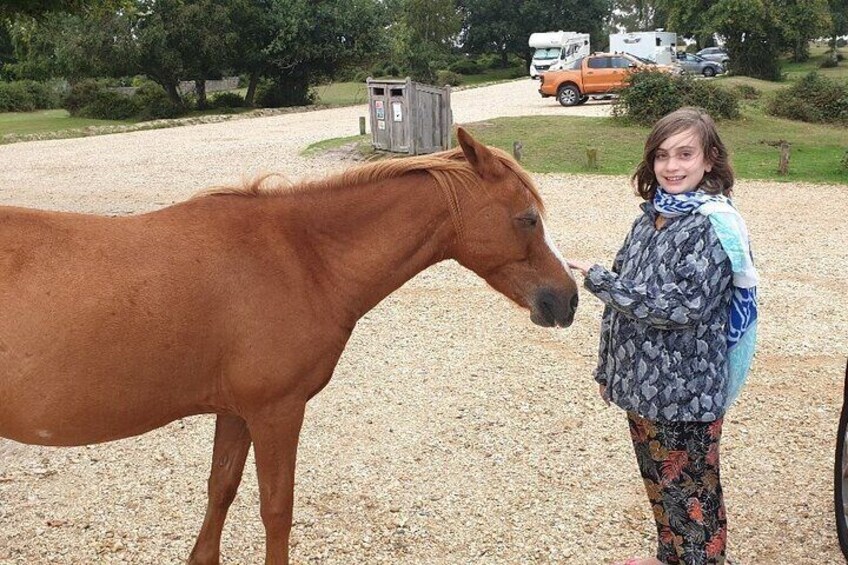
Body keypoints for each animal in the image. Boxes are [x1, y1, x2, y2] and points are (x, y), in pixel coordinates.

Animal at [0, 129, 576, 564]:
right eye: (527, 218)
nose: (567, 298)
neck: (302, 258)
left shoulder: (236, 412)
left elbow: (221, 489)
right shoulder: (276, 412)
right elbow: (277, 509)